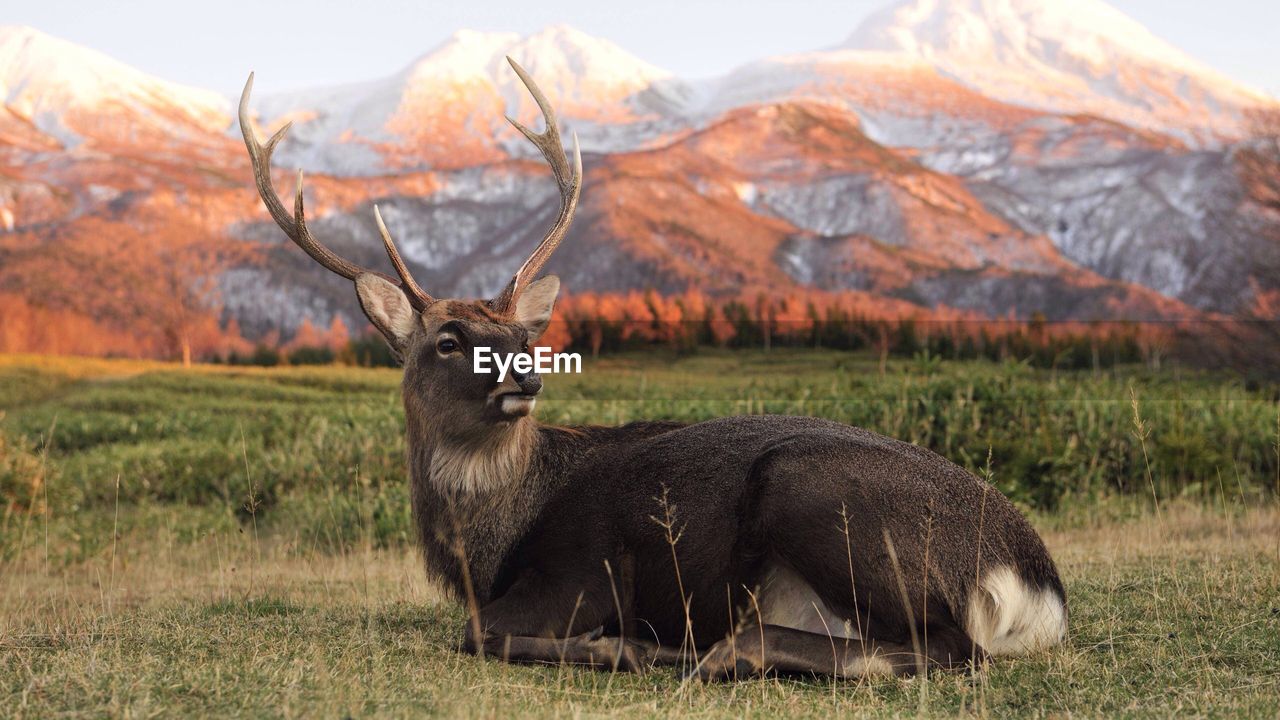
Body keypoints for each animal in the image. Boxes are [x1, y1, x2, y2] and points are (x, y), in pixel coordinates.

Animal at [235, 61, 1064, 676]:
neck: (487, 545)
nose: (525, 376)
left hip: (815, 493)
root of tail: (1036, 584)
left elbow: (476, 632)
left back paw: (711, 649)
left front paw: (619, 645)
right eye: (447, 338)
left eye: (523, 333)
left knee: (945, 647)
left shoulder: (579, 573)